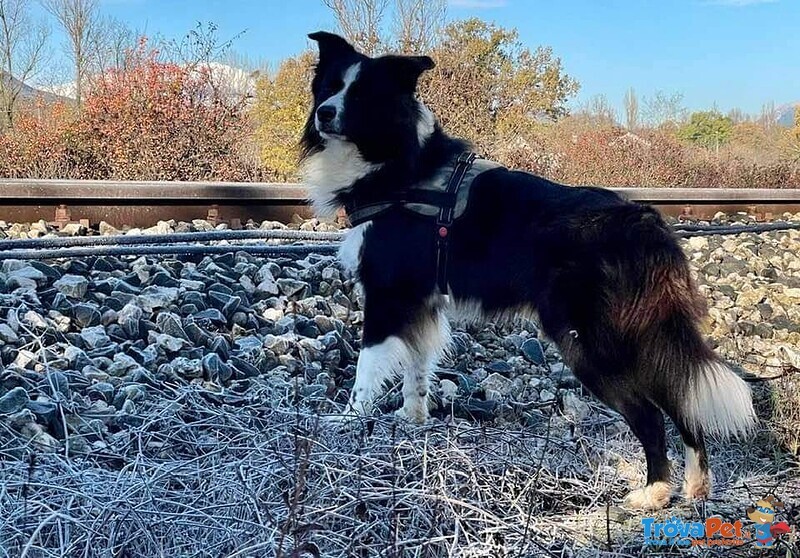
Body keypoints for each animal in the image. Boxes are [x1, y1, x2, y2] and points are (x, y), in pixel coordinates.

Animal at [300, 30, 756, 512]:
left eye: (362, 96)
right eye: (330, 86)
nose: (324, 113)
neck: (398, 166)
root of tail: (647, 224)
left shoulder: (386, 295)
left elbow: (366, 368)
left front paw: (347, 420)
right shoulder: (419, 302)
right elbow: (416, 368)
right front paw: (413, 419)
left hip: (589, 344)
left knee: (650, 414)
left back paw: (652, 492)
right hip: (643, 338)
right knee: (679, 398)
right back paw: (695, 487)